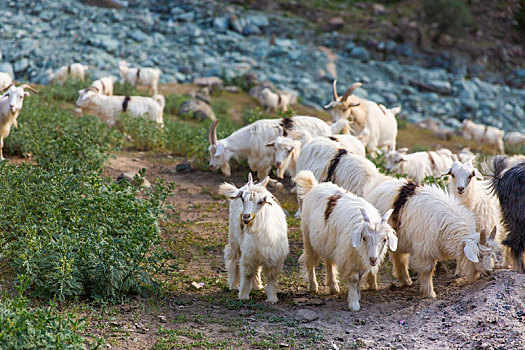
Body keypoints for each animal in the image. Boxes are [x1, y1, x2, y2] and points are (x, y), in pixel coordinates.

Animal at [208, 116, 348, 179]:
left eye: (217, 154)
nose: (211, 166)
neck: (250, 137)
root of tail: (330, 128)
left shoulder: (264, 160)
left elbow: (262, 175)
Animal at [219, 174, 288, 302]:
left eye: (261, 201)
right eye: (242, 199)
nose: (246, 216)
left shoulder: (274, 257)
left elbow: (271, 277)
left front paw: (272, 299)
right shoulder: (248, 254)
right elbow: (247, 274)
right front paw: (243, 296)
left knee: (256, 269)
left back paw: (257, 286)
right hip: (234, 237)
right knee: (232, 256)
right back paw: (233, 284)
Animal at [292, 171, 396, 310]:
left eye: (384, 239)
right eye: (364, 237)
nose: (373, 259)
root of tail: (315, 186)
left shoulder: (358, 259)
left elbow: (360, 277)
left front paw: (358, 295)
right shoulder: (349, 258)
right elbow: (354, 279)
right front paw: (353, 303)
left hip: (328, 242)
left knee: (328, 262)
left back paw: (333, 287)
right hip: (308, 238)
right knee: (310, 261)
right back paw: (313, 286)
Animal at [362, 180, 498, 298]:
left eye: (491, 254)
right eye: (479, 255)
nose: (489, 272)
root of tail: (372, 189)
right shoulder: (424, 250)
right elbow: (427, 270)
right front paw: (429, 293)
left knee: (399, 257)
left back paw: (406, 280)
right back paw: (373, 285)